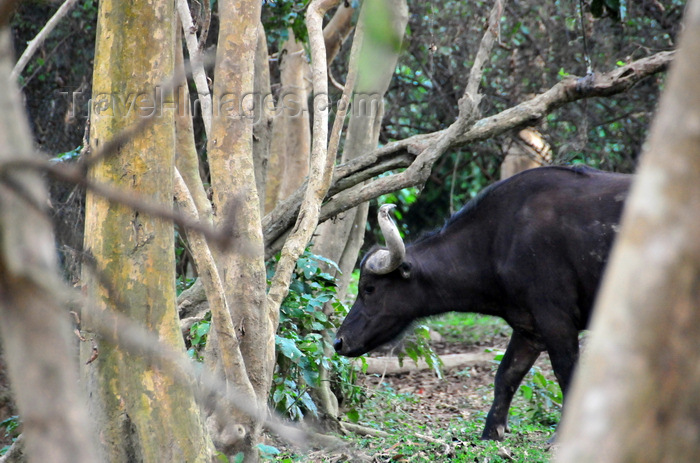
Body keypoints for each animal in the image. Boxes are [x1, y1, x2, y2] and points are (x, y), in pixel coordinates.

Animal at [334, 166, 636, 442]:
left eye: (369, 288)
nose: (339, 341)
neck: (498, 239)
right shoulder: (529, 329)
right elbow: (506, 375)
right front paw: (492, 431)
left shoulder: (556, 320)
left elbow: (566, 373)